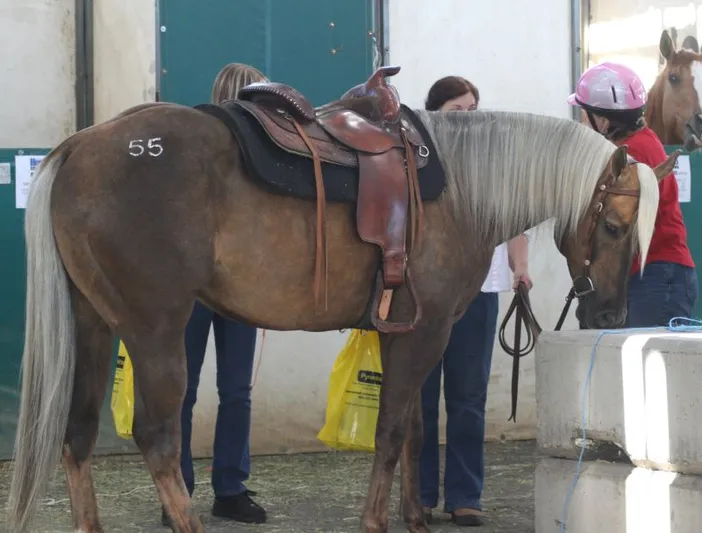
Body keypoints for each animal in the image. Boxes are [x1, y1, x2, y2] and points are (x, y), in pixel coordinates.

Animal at [5, 83, 675, 533]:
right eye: (615, 227)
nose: (611, 319)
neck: (463, 188)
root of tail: (77, 147)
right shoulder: (427, 330)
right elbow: (392, 430)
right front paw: (378, 521)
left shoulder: (409, 332)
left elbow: (414, 429)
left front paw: (414, 517)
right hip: (154, 332)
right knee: (157, 437)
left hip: (93, 323)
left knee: (78, 432)